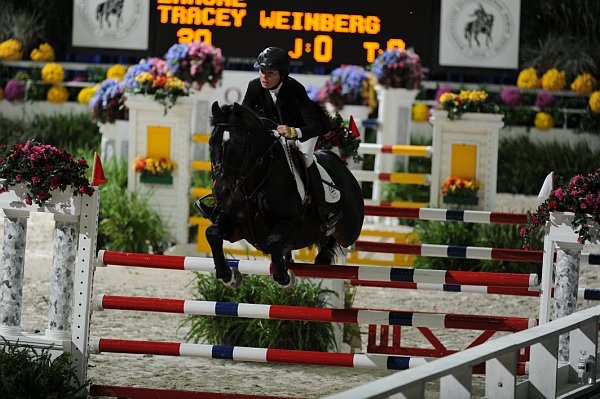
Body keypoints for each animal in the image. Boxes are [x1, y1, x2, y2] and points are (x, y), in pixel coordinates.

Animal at [202, 101, 364, 286]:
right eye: (211, 143)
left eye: (240, 145)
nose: (220, 192)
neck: (254, 186)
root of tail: (339, 163)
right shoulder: (234, 223)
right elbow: (212, 233)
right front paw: (229, 276)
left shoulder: (293, 224)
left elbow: (273, 241)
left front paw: (284, 278)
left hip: (350, 230)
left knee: (340, 238)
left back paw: (325, 255)